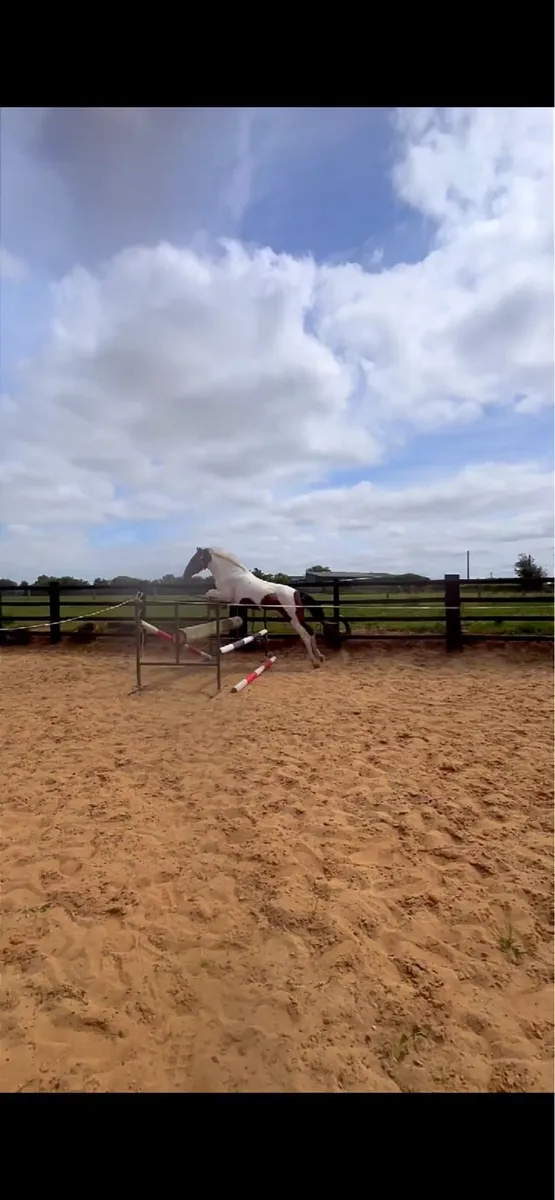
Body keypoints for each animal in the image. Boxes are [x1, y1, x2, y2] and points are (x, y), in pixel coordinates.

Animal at [182, 547, 340, 667]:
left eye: (194, 559)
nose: (185, 575)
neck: (231, 574)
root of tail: (296, 592)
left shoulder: (226, 596)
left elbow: (209, 593)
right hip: (297, 617)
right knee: (311, 632)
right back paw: (320, 657)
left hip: (293, 619)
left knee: (306, 636)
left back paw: (314, 661)